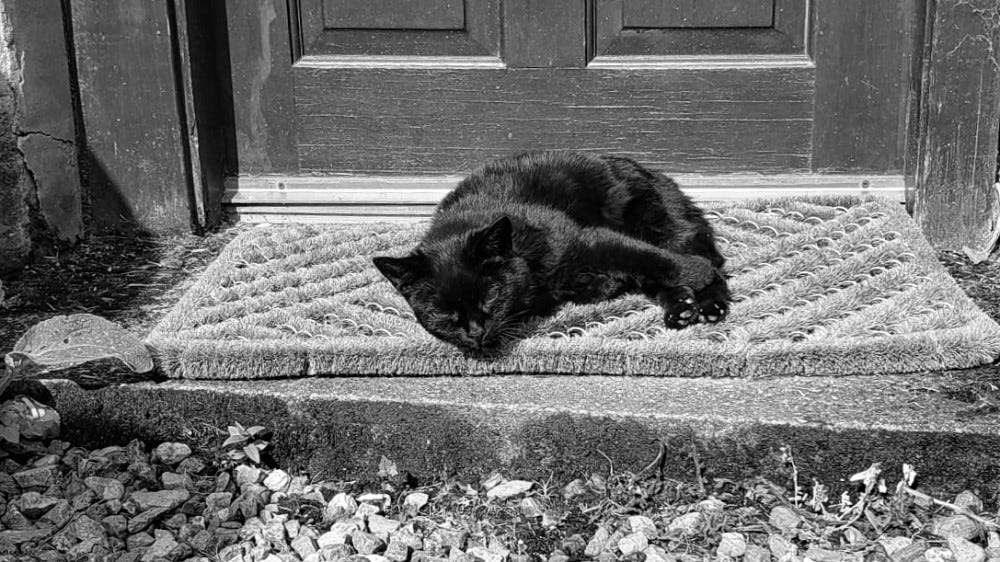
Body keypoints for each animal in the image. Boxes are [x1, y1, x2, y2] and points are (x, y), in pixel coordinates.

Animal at [372, 150, 732, 354]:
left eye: (491, 295)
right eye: (442, 313)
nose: (475, 332)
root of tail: (656, 173)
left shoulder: (587, 239)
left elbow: (643, 257)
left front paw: (696, 272)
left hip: (656, 222)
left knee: (702, 259)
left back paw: (708, 303)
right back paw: (681, 307)